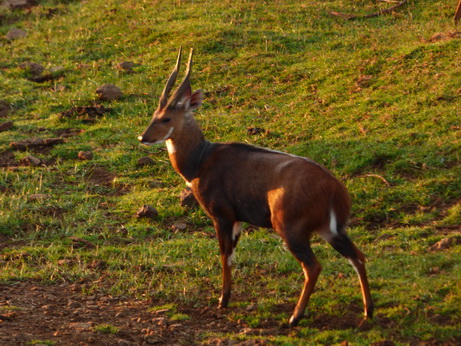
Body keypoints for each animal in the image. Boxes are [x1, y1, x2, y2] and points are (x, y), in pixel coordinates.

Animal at [137, 48, 374, 328]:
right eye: (153, 115)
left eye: (166, 118)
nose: (143, 137)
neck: (200, 159)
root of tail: (335, 188)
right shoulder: (238, 220)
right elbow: (231, 255)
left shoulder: (222, 216)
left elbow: (224, 255)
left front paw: (222, 301)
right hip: (330, 230)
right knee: (358, 256)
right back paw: (368, 311)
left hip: (291, 229)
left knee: (313, 266)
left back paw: (295, 316)